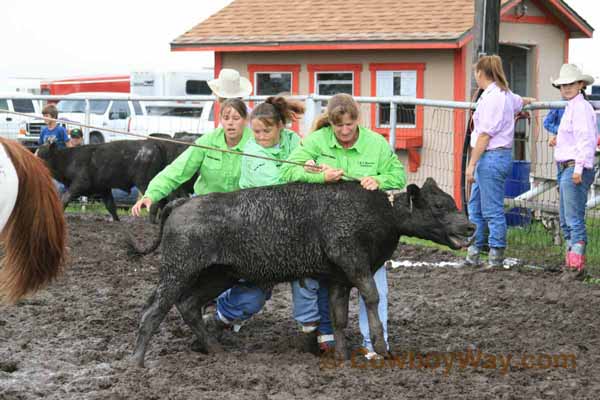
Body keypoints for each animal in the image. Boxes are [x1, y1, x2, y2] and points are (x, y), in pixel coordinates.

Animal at [36, 140, 195, 222]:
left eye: (42, 155)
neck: (69, 159)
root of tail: (155, 145)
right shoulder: (103, 189)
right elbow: (110, 206)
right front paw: (117, 221)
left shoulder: (80, 184)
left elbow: (65, 198)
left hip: (144, 181)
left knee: (156, 200)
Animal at [126, 180, 474, 368]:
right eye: (439, 206)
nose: (470, 227)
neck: (379, 212)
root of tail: (180, 203)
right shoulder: (353, 263)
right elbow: (372, 297)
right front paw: (381, 346)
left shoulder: (338, 279)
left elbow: (338, 316)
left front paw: (342, 356)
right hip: (178, 271)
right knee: (153, 312)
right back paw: (138, 362)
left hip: (218, 275)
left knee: (188, 306)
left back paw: (216, 349)